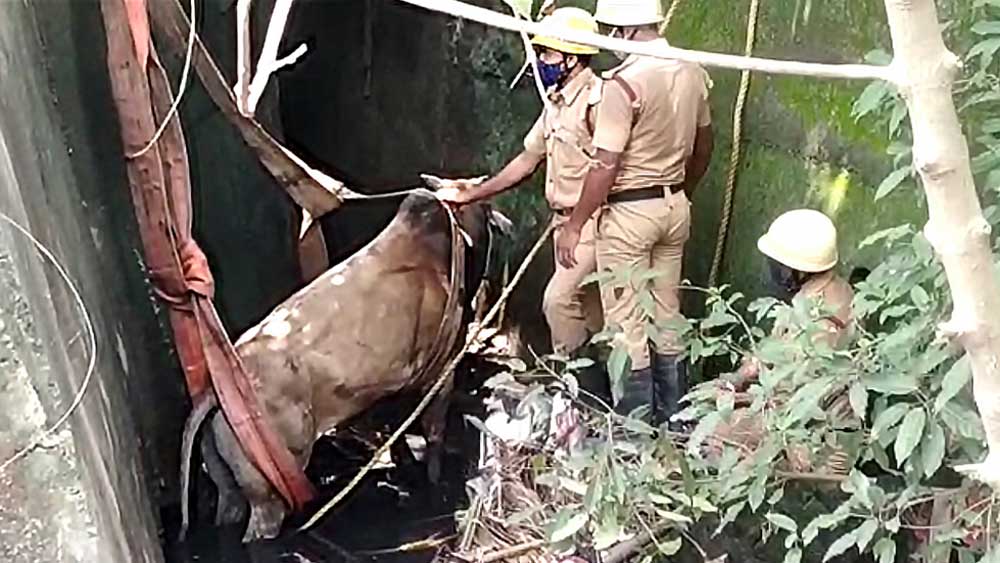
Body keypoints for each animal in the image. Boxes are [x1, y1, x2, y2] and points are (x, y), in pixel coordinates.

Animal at [179, 190, 501, 542]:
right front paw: (434, 482)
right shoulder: (440, 370)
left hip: (228, 487)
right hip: (269, 495)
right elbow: (434, 433)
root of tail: (216, 392)